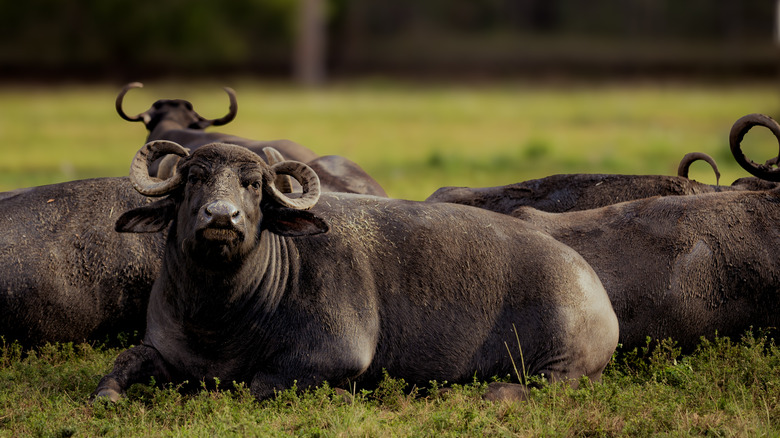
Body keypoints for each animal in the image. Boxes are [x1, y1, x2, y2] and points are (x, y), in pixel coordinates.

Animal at [92, 140, 618, 402]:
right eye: (194, 179)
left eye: (253, 184)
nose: (222, 217)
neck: (220, 318)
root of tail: (593, 287)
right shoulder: (163, 348)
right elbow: (123, 363)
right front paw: (109, 396)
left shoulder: (333, 355)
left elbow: (257, 385)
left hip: (562, 364)